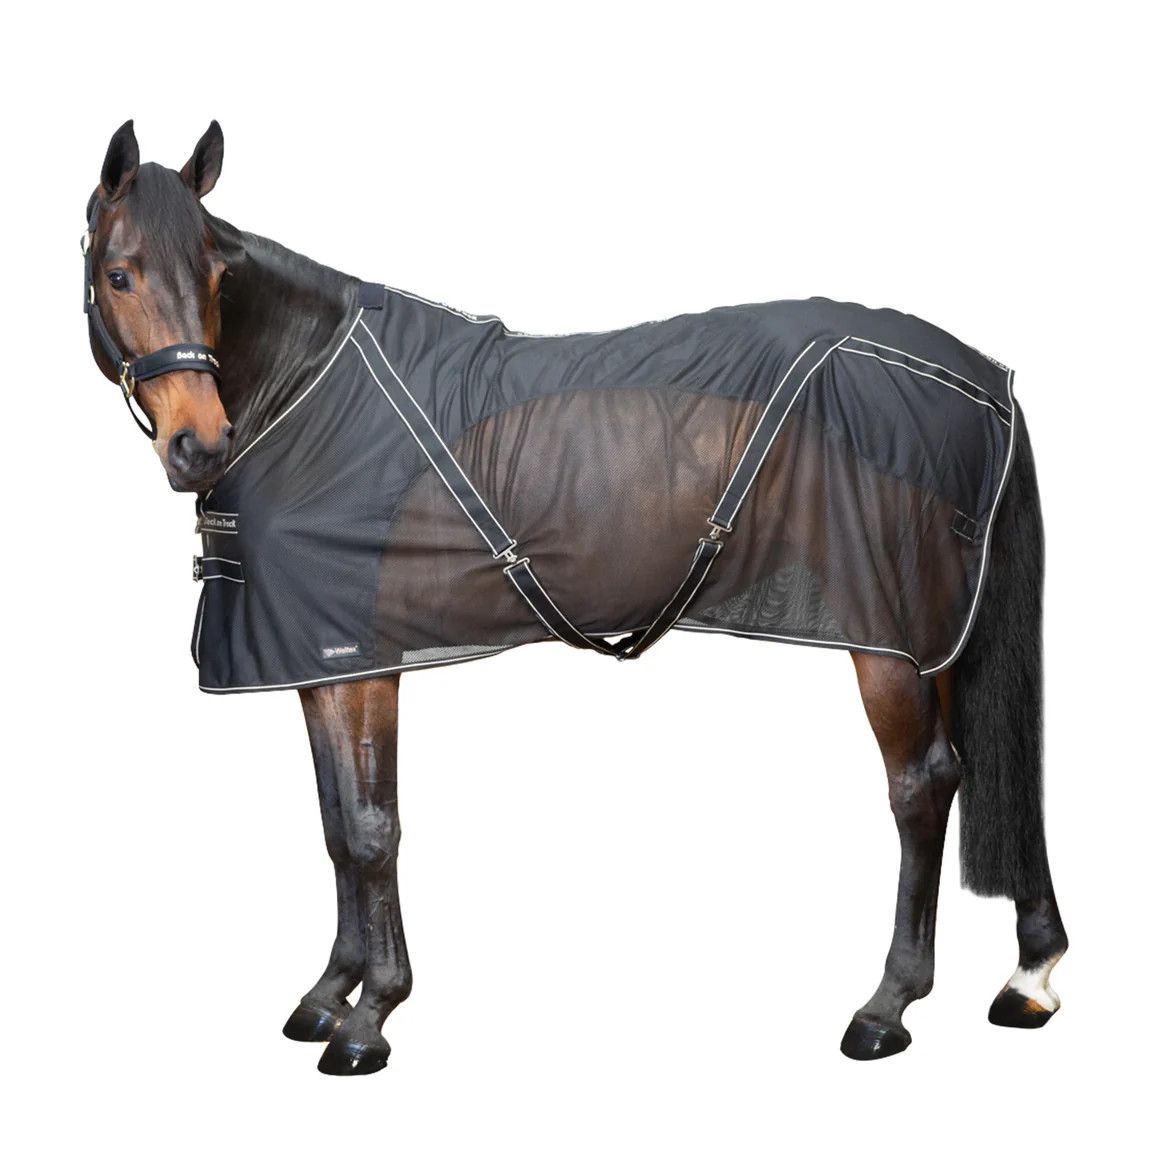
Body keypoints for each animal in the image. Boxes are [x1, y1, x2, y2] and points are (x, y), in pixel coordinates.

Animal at [81, 119, 1068, 1076]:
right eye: (118, 273)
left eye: (217, 274)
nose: (200, 444)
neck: (312, 389)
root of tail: (984, 379)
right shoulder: (321, 664)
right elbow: (334, 826)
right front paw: (328, 995)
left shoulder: (364, 664)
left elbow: (371, 829)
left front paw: (372, 1018)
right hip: (935, 635)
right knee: (979, 766)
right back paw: (1030, 975)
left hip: (885, 641)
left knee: (922, 785)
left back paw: (887, 1006)